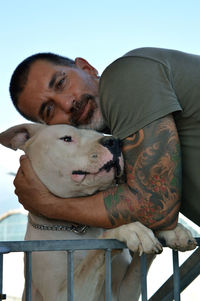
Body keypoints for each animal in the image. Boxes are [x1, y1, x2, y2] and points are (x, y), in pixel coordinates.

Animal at [0, 123, 197, 300]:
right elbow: (98, 248)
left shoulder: (125, 292)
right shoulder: (63, 294)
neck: (77, 229)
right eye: (67, 138)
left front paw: (173, 230)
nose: (114, 141)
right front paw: (130, 229)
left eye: (99, 134)